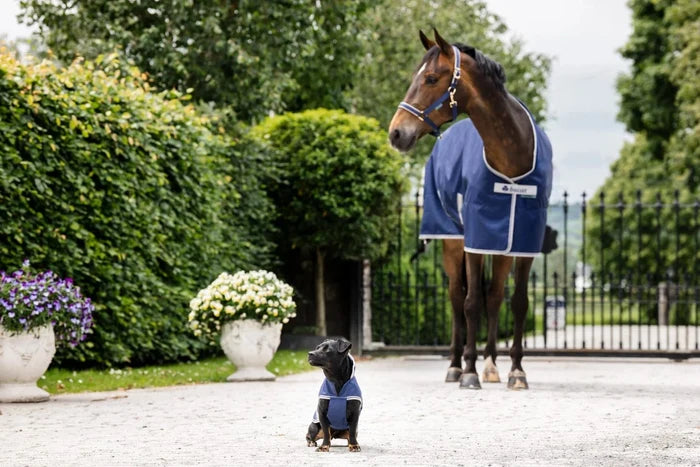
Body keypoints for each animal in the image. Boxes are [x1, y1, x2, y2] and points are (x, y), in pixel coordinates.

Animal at [388, 29, 553, 390]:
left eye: (431, 78)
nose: (396, 133)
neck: (512, 156)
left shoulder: (524, 243)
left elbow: (517, 303)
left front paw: (516, 371)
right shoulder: (476, 239)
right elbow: (470, 302)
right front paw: (469, 373)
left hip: (501, 249)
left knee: (494, 297)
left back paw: (490, 364)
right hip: (453, 243)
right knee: (456, 297)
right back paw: (457, 364)